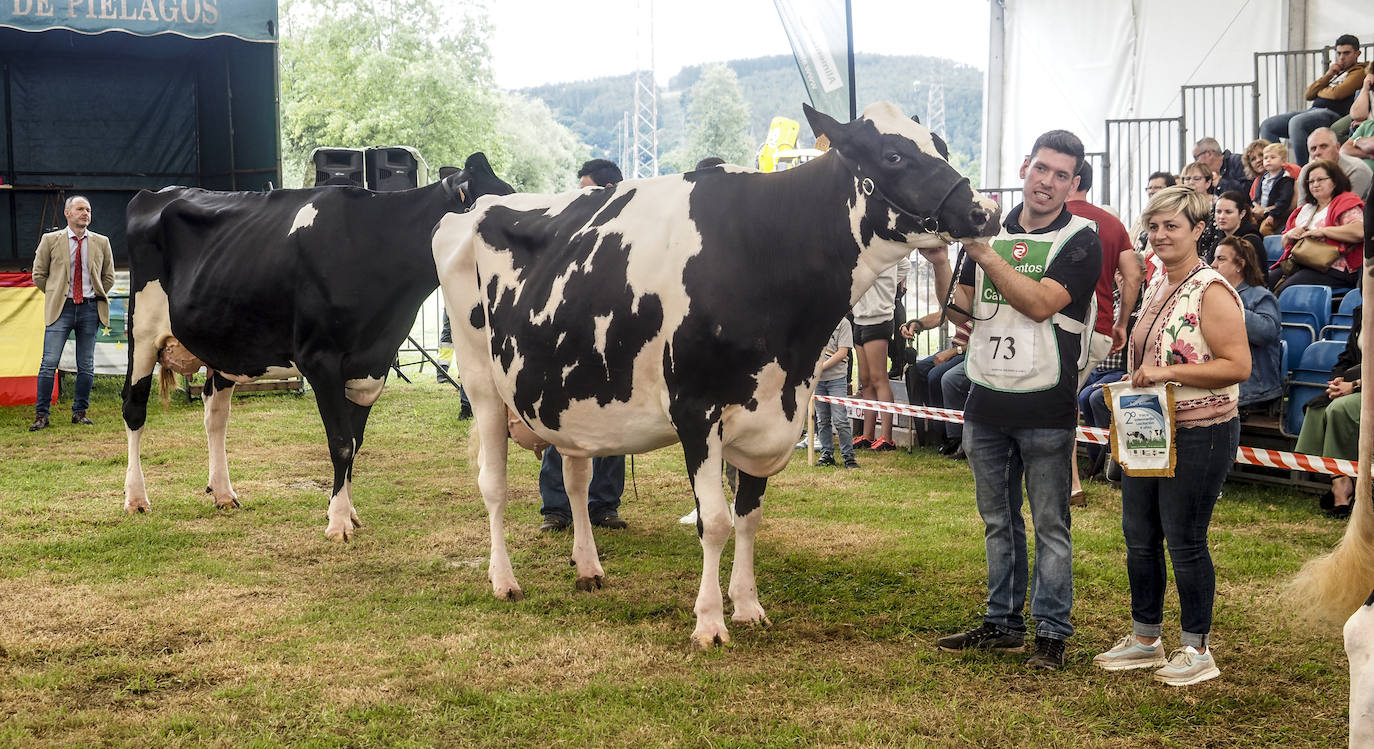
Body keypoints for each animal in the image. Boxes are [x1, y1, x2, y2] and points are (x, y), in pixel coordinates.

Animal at [122, 151, 516, 538]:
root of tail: (155, 194)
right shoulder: (320, 360)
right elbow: (341, 442)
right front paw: (338, 521)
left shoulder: (371, 365)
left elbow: (356, 441)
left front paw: (349, 512)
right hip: (141, 331)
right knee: (134, 408)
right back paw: (136, 499)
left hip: (225, 344)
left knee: (215, 414)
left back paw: (222, 493)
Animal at [436, 102, 1000, 645]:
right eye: (893, 156)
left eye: (942, 146)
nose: (985, 211)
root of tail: (472, 209)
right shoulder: (695, 410)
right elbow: (714, 522)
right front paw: (709, 623)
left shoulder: (772, 412)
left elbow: (748, 517)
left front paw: (748, 607)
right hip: (481, 381)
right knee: (493, 484)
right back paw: (504, 581)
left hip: (570, 401)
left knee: (576, 479)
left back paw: (588, 567)